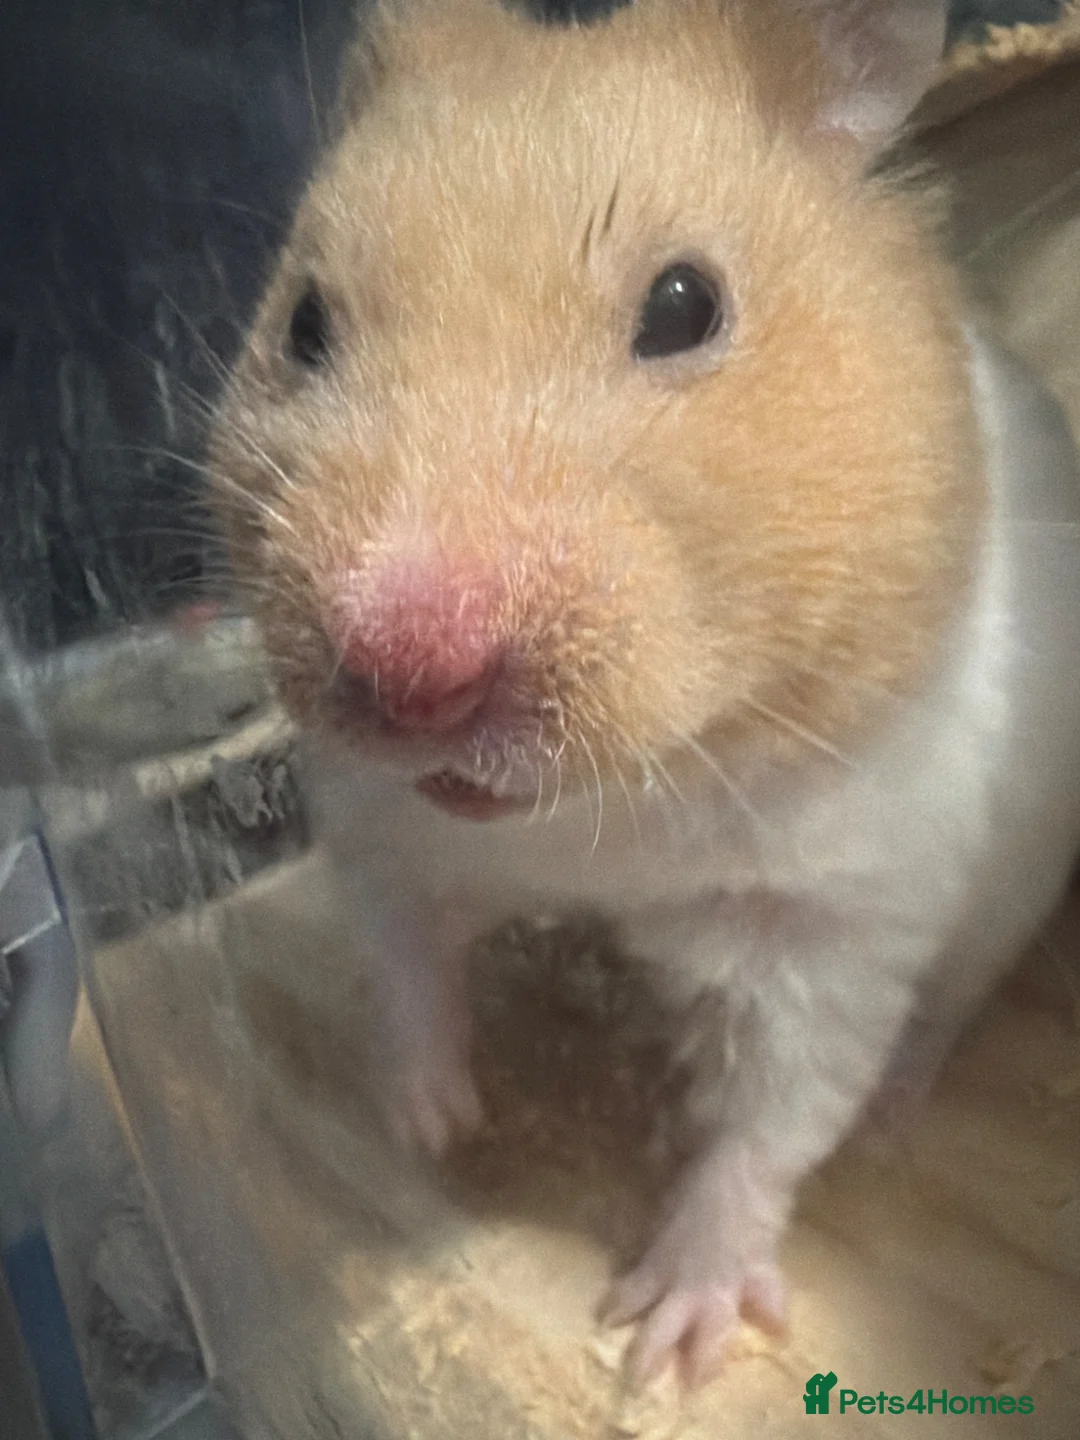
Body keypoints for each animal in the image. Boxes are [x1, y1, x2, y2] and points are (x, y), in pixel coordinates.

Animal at [209, 0, 1080, 1387]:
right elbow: (407, 968)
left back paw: (895, 1118)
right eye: (303, 324)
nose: (413, 667)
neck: (604, 812)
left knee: (936, 1018)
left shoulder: (836, 922)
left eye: (685, 305)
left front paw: (666, 1338)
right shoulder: (378, 828)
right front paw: (430, 1124)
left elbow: (772, 1122)